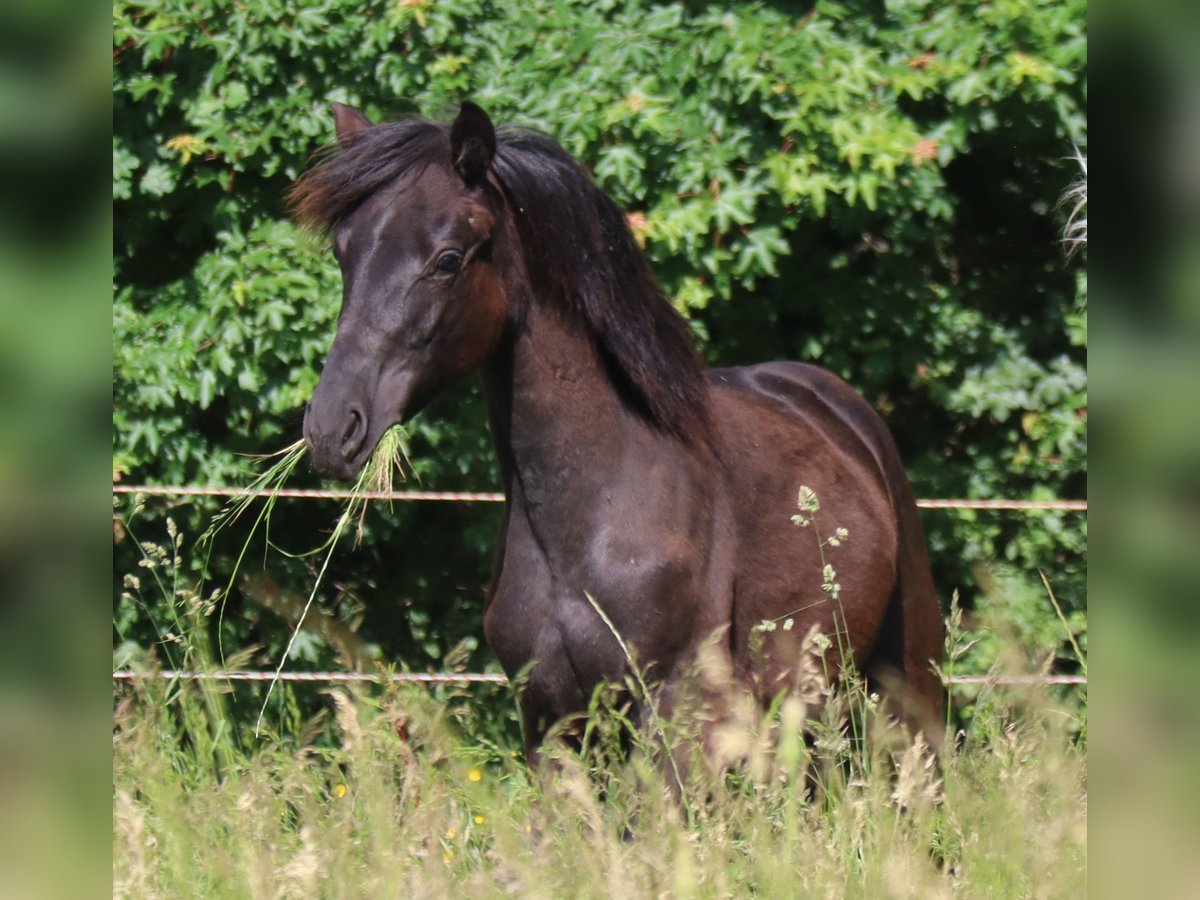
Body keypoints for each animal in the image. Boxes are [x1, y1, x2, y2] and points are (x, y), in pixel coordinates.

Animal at [292, 102, 945, 763]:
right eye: (345, 253)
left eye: (448, 258)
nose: (332, 426)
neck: (589, 522)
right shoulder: (548, 723)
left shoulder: (676, 721)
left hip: (906, 697)